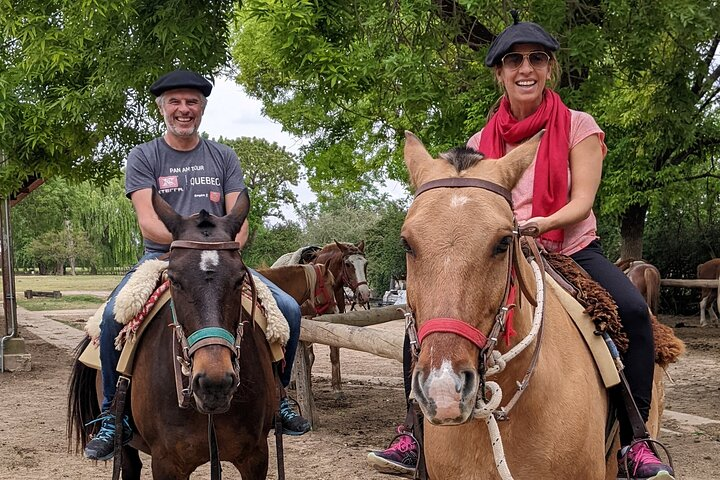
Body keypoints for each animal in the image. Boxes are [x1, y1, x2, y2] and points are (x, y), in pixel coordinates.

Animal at [67, 189, 278, 478]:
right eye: (174, 280)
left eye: (239, 280)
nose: (214, 382)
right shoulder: (167, 463)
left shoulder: (256, 457)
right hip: (125, 442)